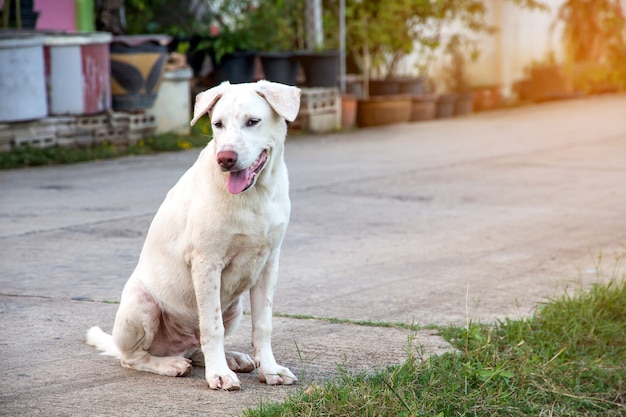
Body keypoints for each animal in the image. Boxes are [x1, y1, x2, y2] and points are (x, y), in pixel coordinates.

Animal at [86, 79, 302, 388]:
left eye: (253, 122)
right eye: (217, 124)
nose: (225, 159)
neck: (254, 196)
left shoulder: (269, 263)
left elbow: (263, 324)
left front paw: (270, 370)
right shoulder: (206, 263)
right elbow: (212, 327)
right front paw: (219, 375)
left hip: (233, 308)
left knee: (196, 345)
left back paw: (231, 358)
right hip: (142, 304)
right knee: (134, 358)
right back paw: (171, 364)